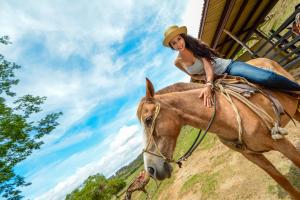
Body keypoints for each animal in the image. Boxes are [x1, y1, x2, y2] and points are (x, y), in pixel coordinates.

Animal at [137, 57, 300, 198]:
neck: (228, 116)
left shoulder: (281, 143)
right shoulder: (252, 155)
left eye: (148, 119)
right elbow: (283, 181)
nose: (150, 170)